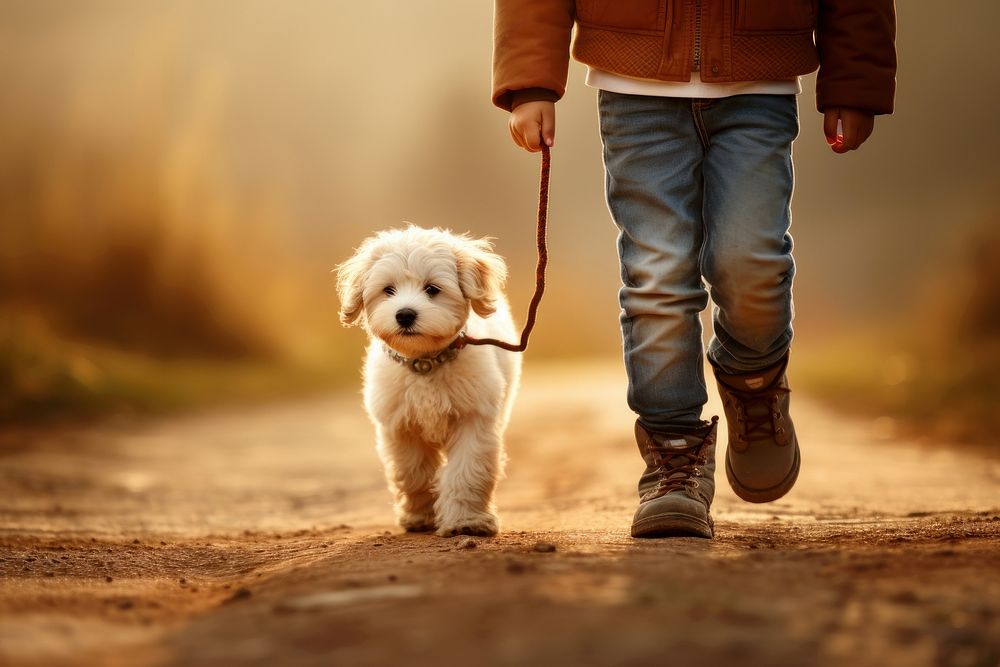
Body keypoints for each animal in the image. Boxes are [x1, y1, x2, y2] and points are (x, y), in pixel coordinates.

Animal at [338, 227, 524, 540]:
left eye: (432, 289)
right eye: (388, 290)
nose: (404, 314)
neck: (424, 362)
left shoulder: (473, 419)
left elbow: (467, 471)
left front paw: (467, 521)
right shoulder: (401, 427)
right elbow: (412, 473)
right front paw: (420, 516)